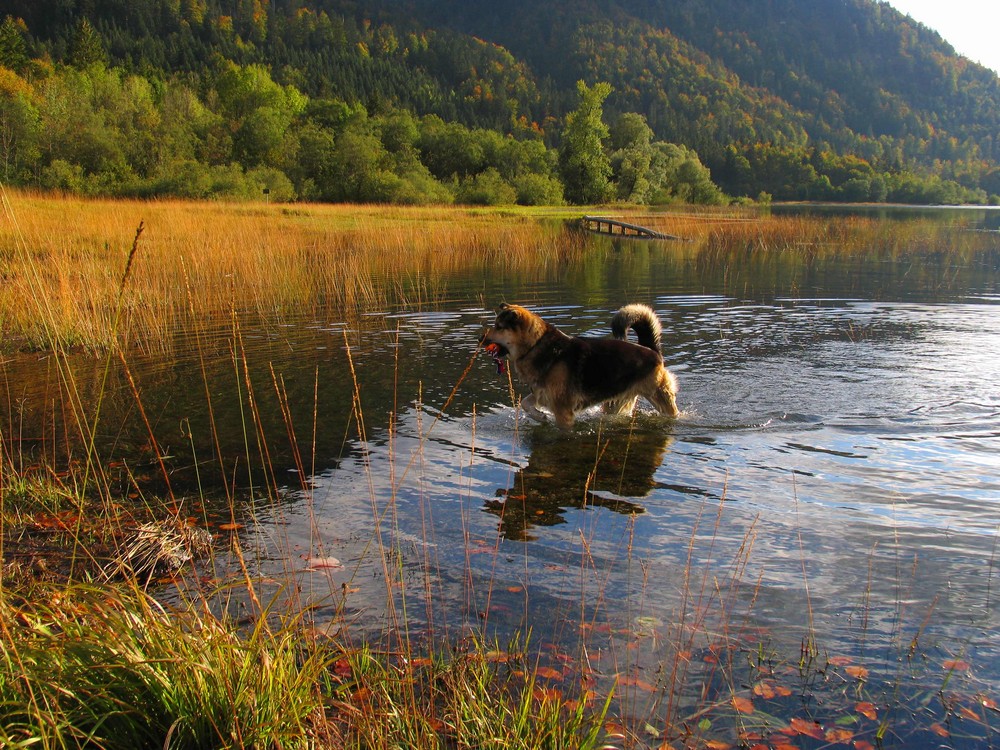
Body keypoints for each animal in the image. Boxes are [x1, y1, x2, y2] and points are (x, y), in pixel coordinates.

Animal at [480, 302, 676, 428]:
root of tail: (651, 350)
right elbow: (525, 404)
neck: (535, 344)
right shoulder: (541, 393)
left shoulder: (563, 410)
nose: (480, 339)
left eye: (499, 327)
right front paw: (540, 417)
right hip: (615, 403)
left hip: (659, 396)